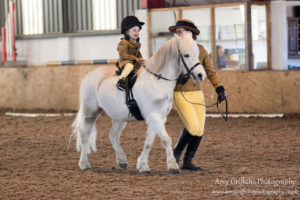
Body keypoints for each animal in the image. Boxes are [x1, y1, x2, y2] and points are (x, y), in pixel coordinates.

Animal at [71, 37, 206, 173]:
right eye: (186, 55)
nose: (201, 75)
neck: (157, 81)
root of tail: (88, 76)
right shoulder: (154, 115)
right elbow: (166, 139)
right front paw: (173, 166)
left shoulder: (159, 118)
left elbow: (149, 142)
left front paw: (143, 165)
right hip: (90, 113)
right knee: (85, 136)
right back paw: (84, 164)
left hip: (119, 117)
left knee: (113, 135)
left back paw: (122, 161)